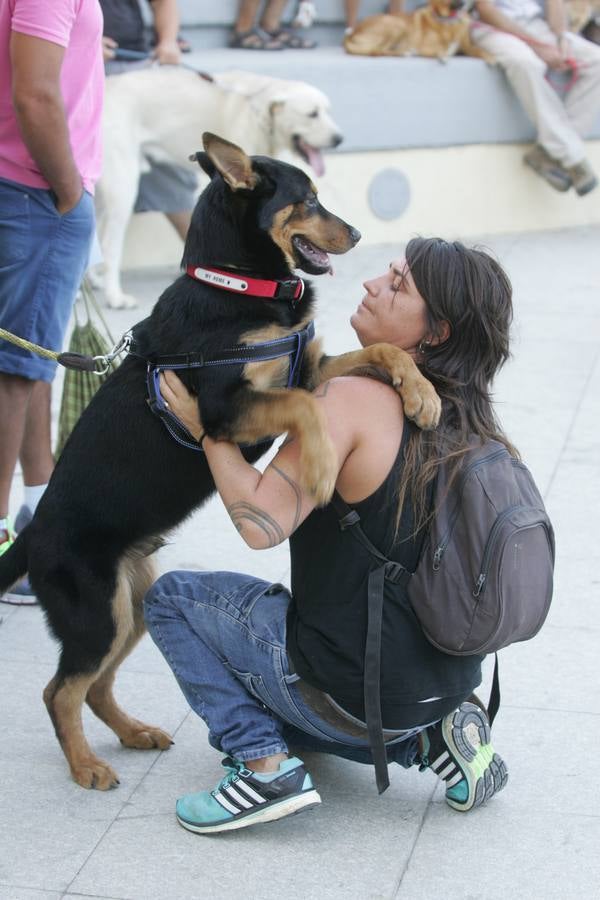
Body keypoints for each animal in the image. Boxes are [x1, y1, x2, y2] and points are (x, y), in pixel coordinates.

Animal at [0, 132, 440, 788]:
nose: (360, 234)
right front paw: (319, 469)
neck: (235, 286)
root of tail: (32, 537)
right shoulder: (226, 409)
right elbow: (304, 411)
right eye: (309, 198)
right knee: (60, 691)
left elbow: (383, 349)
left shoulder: (309, 371)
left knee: (94, 686)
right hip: (96, 611)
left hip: (129, 604)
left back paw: (133, 734)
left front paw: (423, 396)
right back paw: (86, 768)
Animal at [94, 65, 342, 308]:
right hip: (123, 184)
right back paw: (114, 296)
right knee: (109, 246)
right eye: (312, 114)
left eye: (328, 111)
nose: (339, 139)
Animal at [344, 0, 494, 62]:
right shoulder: (426, 47)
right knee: (377, 51)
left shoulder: (467, 47)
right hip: (397, 25)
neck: (449, 20)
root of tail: (352, 33)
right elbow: (441, 49)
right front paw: (443, 54)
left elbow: (478, 50)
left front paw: (490, 57)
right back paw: (404, 53)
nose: (464, 4)